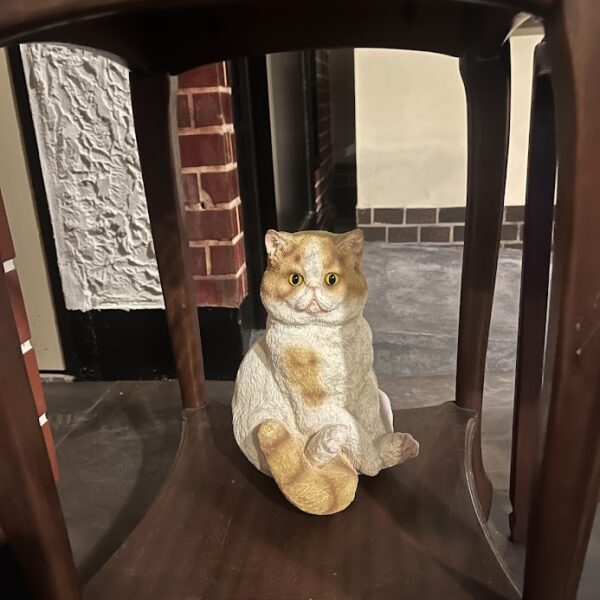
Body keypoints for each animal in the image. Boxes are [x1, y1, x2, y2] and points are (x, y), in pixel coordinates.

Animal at [232, 229, 419, 515]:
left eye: (331, 279)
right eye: (295, 279)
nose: (312, 288)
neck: (327, 338)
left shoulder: (367, 390)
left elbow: (370, 424)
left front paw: (381, 448)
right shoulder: (314, 409)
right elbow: (354, 429)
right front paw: (371, 460)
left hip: (383, 397)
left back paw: (399, 447)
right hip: (264, 421)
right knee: (306, 457)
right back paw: (330, 441)